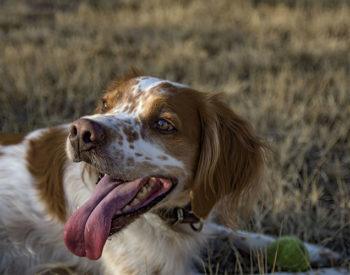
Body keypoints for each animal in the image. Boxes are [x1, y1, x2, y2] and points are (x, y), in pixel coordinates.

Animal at [0, 73, 266, 275]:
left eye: (163, 124)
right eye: (105, 105)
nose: (81, 133)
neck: (165, 221)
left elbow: (229, 233)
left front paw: (267, 241)